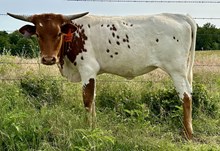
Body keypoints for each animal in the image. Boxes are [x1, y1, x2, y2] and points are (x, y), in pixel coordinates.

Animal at [7, 12, 196, 140]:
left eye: (59, 33)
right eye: (38, 34)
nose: (48, 59)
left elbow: (87, 100)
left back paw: (187, 134)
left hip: (176, 70)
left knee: (186, 97)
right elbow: (93, 100)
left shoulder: (87, 70)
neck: (74, 35)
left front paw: (87, 129)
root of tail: (180, 16)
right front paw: (94, 126)